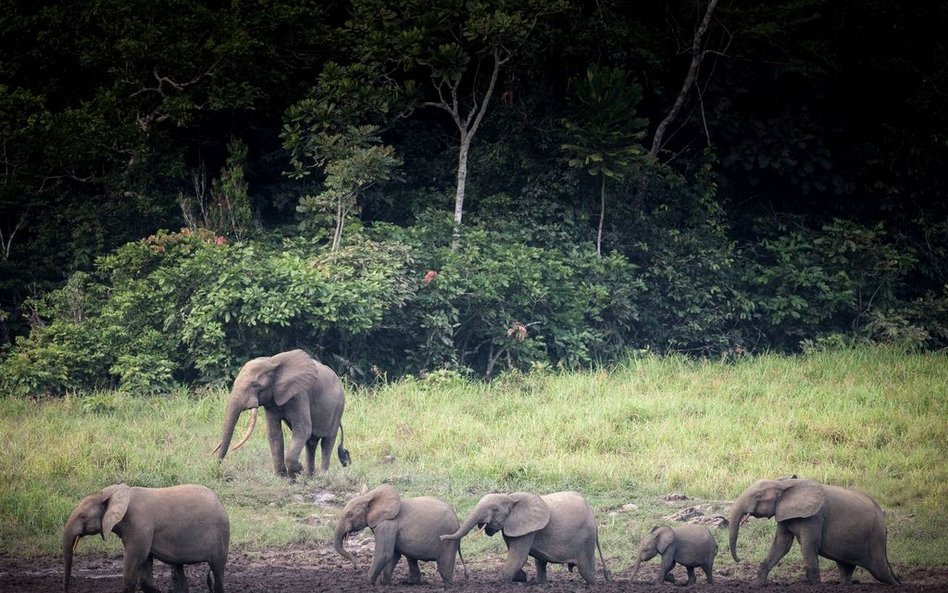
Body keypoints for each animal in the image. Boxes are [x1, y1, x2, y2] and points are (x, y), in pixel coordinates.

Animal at [63, 480, 230, 592]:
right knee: (177, 571)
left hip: (220, 536)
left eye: (83, 516)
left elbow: (135, 563)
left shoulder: (139, 526)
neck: (110, 493)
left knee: (217, 571)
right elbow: (145, 568)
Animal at [213, 346, 350, 476]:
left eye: (256, 385)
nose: (216, 467)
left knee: (327, 442)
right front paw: (283, 477)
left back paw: (322, 476)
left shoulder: (300, 394)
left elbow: (302, 429)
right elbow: (274, 434)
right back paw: (309, 477)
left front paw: (297, 471)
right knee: (311, 443)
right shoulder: (271, 401)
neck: (271, 362)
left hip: (338, 407)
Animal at [334, 484, 466, 584]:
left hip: (448, 539)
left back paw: (447, 586)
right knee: (412, 559)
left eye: (350, 515)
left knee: (444, 567)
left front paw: (369, 583)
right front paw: (384, 583)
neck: (369, 496)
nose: (356, 565)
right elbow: (393, 555)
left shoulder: (388, 526)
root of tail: (457, 520)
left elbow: (384, 554)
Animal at [438, 490, 608, 584]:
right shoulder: (513, 526)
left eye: (495, 509)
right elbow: (515, 553)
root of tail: (592, 515)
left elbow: (518, 556)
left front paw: (502, 582)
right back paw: (541, 584)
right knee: (540, 562)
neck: (511, 497)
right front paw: (521, 578)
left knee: (585, 569)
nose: (441, 537)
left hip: (586, 538)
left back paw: (592, 584)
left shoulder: (527, 529)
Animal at [728, 474, 900, 584]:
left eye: (758, 496)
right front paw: (757, 585)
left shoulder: (814, 517)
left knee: (880, 572)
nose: (739, 559)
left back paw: (897, 584)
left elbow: (808, 546)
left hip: (875, 538)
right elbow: (781, 545)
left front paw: (815, 586)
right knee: (846, 569)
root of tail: (883, 521)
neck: (785, 484)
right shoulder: (784, 513)